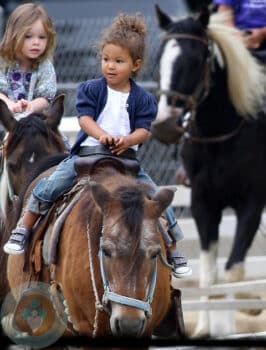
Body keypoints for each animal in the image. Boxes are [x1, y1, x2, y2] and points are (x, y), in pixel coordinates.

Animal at [152, 4, 266, 334]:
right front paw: (205, 328)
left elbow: (232, 272)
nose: (165, 124)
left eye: (195, 60)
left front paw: (234, 318)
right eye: (160, 58)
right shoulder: (203, 204)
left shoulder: (252, 203)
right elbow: (208, 273)